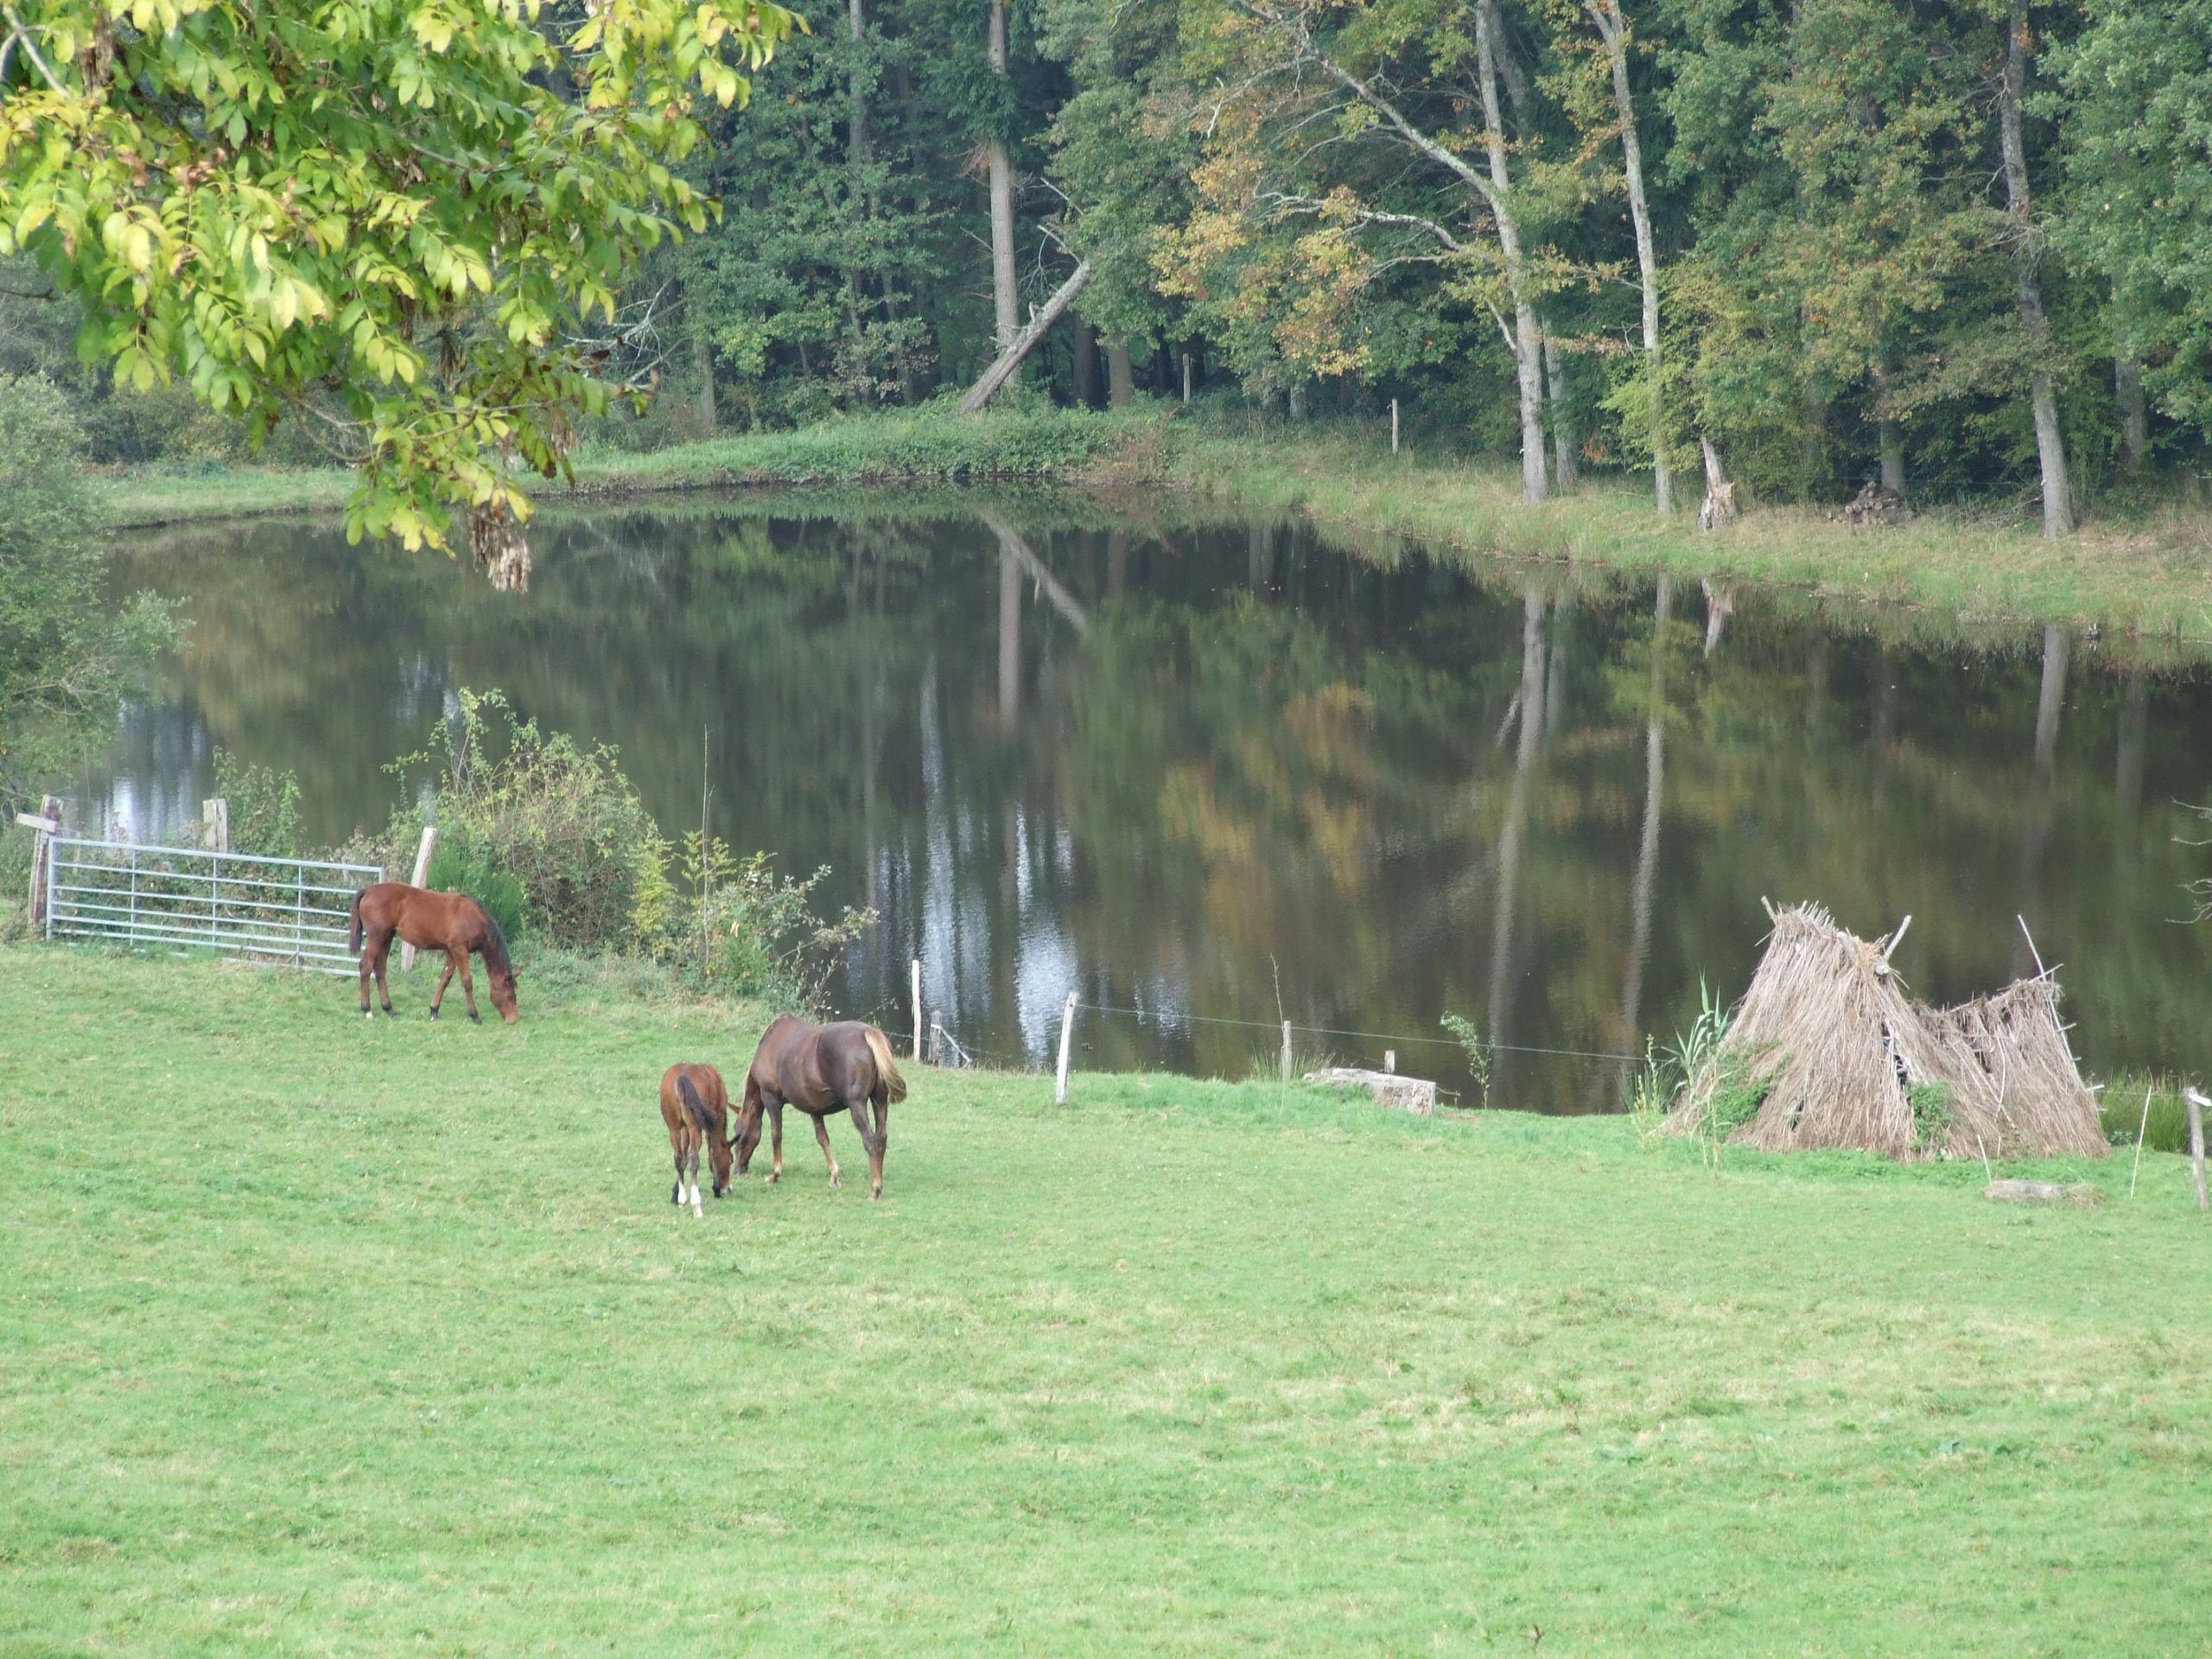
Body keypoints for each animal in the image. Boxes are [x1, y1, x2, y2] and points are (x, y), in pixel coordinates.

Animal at [349, 881, 520, 1024]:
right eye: (510, 995)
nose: (513, 1019)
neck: (473, 918)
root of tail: (368, 890)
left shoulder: (452, 951)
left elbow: (445, 978)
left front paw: (434, 1010)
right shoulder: (459, 950)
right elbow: (467, 981)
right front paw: (474, 1015)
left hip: (387, 938)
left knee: (380, 969)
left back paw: (388, 1008)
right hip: (377, 938)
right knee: (365, 967)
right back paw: (367, 1010)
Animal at [659, 1064, 735, 1218]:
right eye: (731, 1160)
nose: (728, 1188)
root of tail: (682, 1077)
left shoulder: (684, 1128)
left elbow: (683, 1157)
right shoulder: (714, 1122)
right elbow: (713, 1151)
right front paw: (716, 1189)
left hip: (674, 1127)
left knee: (678, 1157)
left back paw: (682, 1199)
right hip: (695, 1128)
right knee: (694, 1160)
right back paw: (696, 1206)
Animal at [735, 1015, 906, 1201]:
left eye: (739, 1136)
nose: (737, 1169)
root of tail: (869, 1033)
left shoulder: (771, 1098)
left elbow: (776, 1135)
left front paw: (775, 1174)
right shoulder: (815, 1110)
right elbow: (823, 1139)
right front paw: (834, 1176)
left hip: (857, 1104)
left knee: (870, 1140)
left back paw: (875, 1189)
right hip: (879, 1100)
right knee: (881, 1138)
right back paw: (879, 1185)